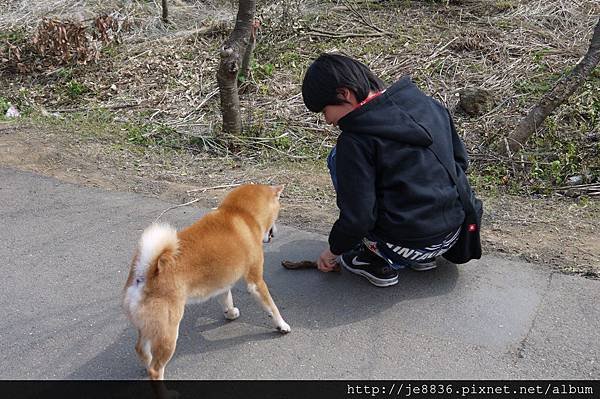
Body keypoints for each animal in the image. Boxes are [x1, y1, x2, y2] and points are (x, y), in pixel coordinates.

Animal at [121, 185, 288, 382]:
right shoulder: (256, 282)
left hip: (149, 327)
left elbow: (227, 299)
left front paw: (230, 313)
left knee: (141, 350)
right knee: (156, 369)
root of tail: (145, 273)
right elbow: (272, 308)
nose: (275, 232)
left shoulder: (223, 283)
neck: (241, 213)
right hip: (168, 331)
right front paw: (282, 325)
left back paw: (145, 366)